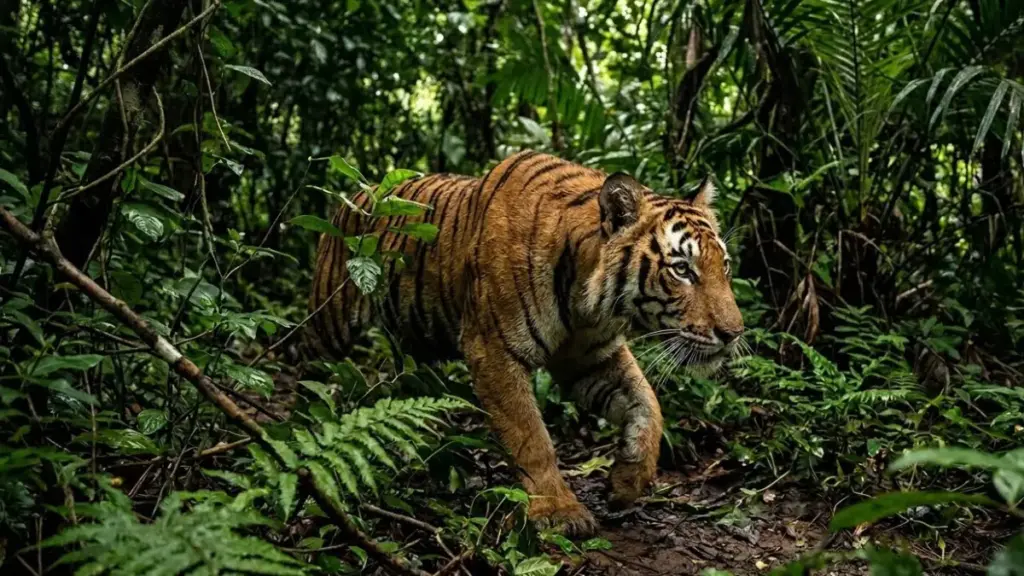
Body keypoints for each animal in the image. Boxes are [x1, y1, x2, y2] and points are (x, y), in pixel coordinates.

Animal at [307, 150, 743, 535]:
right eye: (682, 270)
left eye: (724, 265)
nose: (734, 333)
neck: (586, 301)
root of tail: (361, 191)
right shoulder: (493, 350)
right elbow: (531, 436)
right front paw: (559, 512)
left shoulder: (590, 358)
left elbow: (649, 405)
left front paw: (627, 481)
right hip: (331, 321)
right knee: (308, 365)